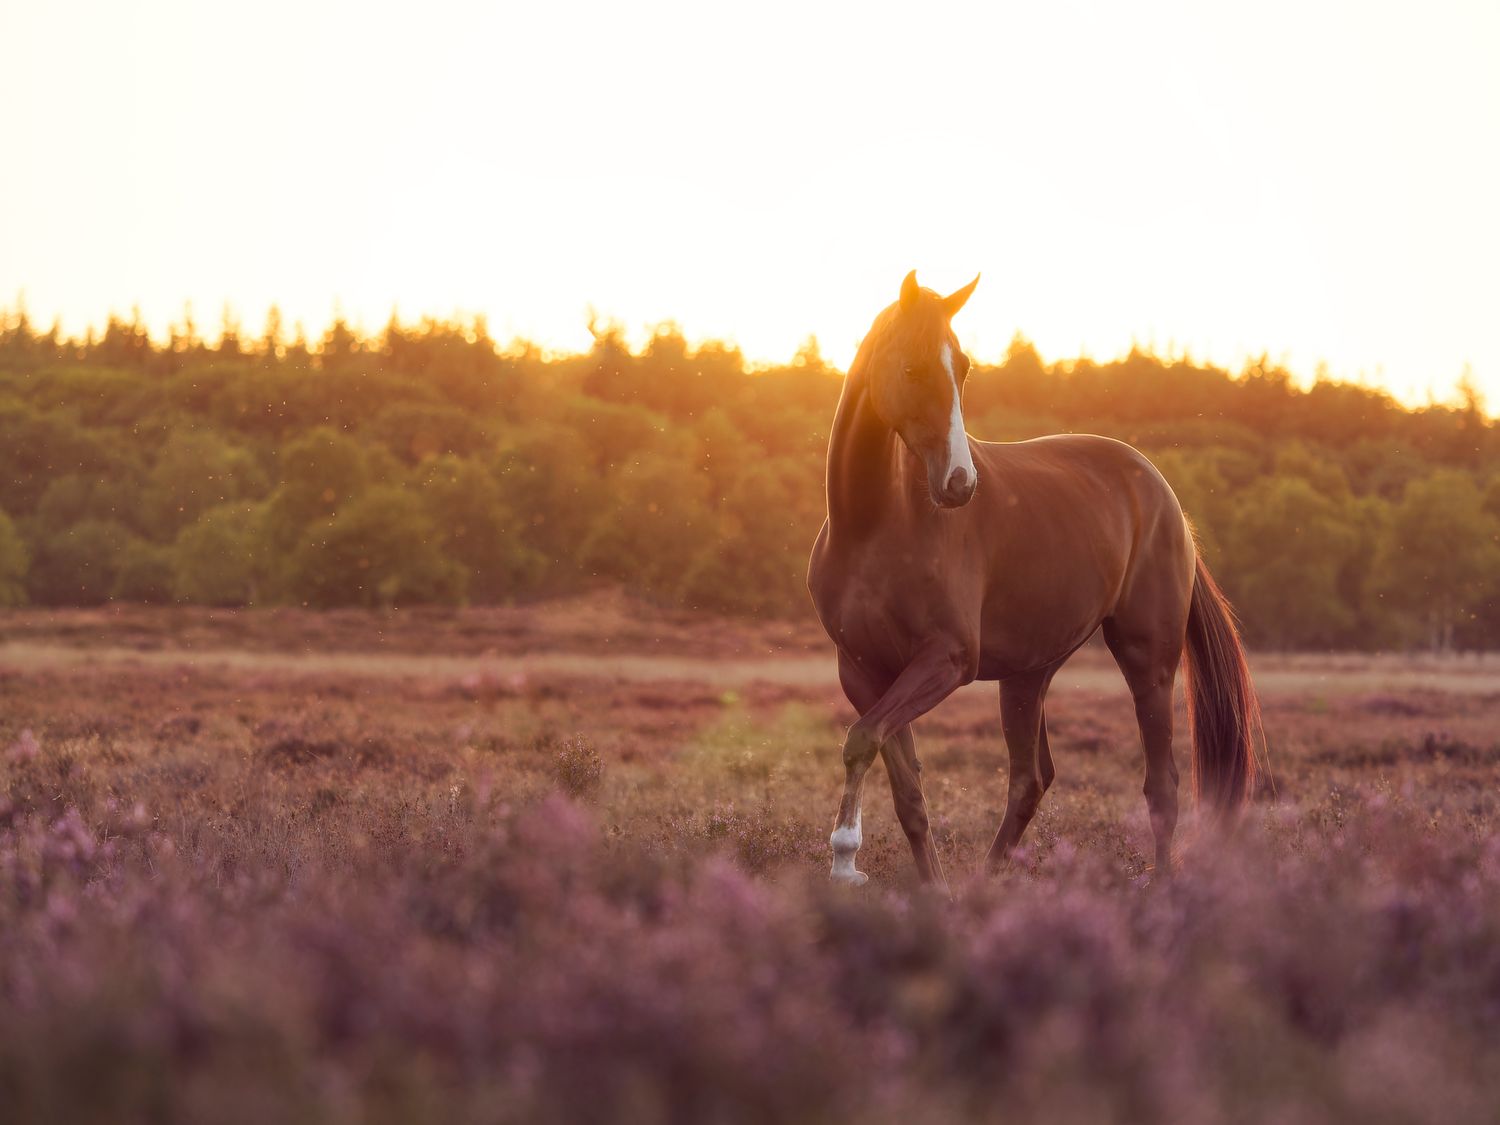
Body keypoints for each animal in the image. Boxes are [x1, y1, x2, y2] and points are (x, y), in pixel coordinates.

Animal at [807, 271, 1261, 889]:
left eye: (964, 367)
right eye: (911, 369)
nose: (959, 483)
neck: (874, 524)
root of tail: (1164, 496)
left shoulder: (948, 660)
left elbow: (861, 742)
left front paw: (845, 859)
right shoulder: (862, 669)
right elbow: (902, 784)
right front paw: (930, 890)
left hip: (1148, 658)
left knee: (1160, 786)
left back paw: (1161, 887)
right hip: (1027, 675)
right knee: (1030, 779)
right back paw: (984, 886)